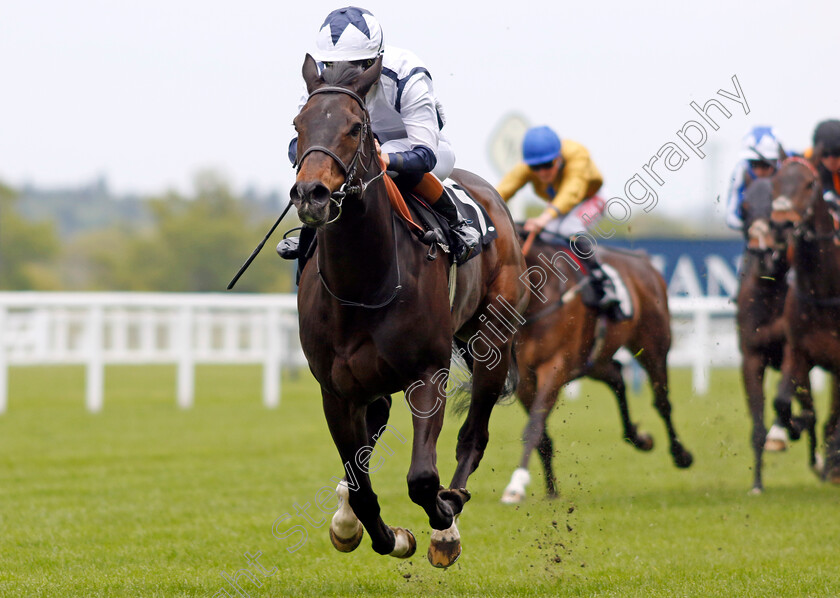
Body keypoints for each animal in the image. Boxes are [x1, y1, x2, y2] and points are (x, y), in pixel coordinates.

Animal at [288, 55, 524, 568]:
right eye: (298, 124)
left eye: (356, 128)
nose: (312, 194)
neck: (364, 281)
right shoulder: (336, 390)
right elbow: (360, 485)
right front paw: (383, 534)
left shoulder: (427, 372)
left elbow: (422, 479)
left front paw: (442, 522)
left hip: (492, 342)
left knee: (473, 434)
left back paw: (451, 512)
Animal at [498, 236, 688, 506]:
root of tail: (643, 261)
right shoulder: (525, 378)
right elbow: (541, 435)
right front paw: (551, 489)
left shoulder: (555, 367)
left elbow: (534, 427)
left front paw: (516, 485)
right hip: (594, 358)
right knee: (617, 376)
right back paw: (638, 438)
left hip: (653, 345)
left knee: (662, 402)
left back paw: (680, 454)